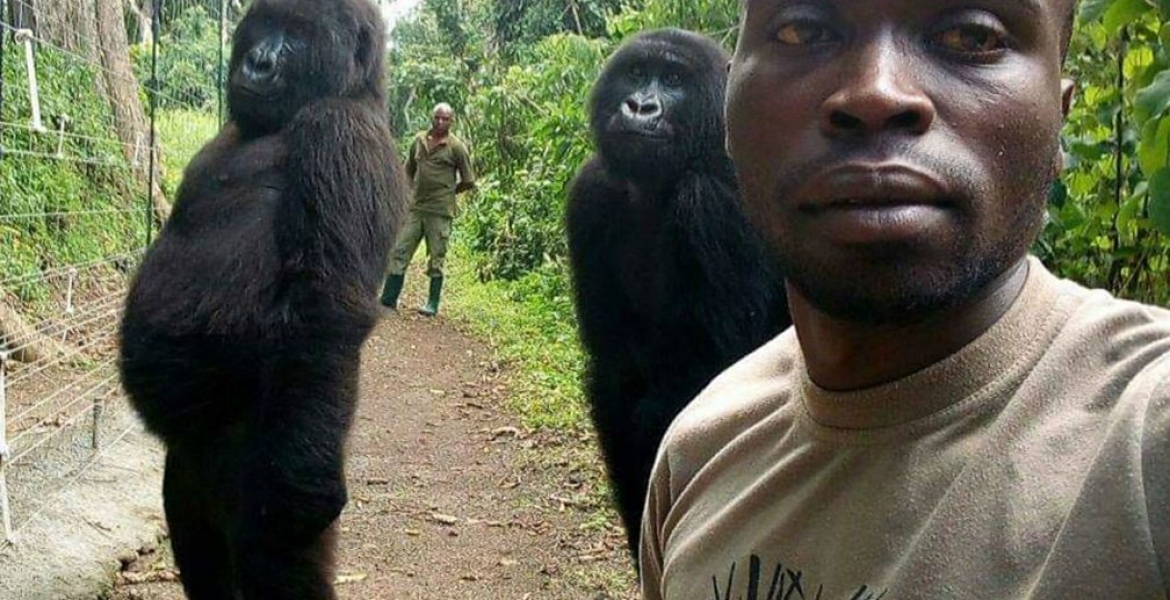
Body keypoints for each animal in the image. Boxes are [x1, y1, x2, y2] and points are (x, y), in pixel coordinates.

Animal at [118, 0, 402, 594]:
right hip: (187, 475)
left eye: (297, 34)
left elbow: (325, 310)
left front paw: (303, 494)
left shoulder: (342, 134)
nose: (259, 61)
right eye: (266, 24)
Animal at [563, 29, 790, 556]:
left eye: (672, 80)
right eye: (635, 73)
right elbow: (616, 382)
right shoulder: (591, 192)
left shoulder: (715, 202)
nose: (640, 106)